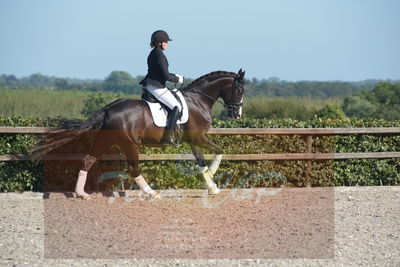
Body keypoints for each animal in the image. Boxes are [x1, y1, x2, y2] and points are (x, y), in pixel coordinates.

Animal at [34, 69, 245, 199]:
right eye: (238, 89)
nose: (237, 114)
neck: (198, 100)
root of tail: (108, 109)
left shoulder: (193, 141)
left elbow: (201, 162)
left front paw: (212, 187)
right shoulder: (198, 137)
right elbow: (220, 150)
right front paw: (214, 177)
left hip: (104, 142)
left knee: (87, 161)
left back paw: (81, 194)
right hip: (130, 144)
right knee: (133, 169)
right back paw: (151, 193)